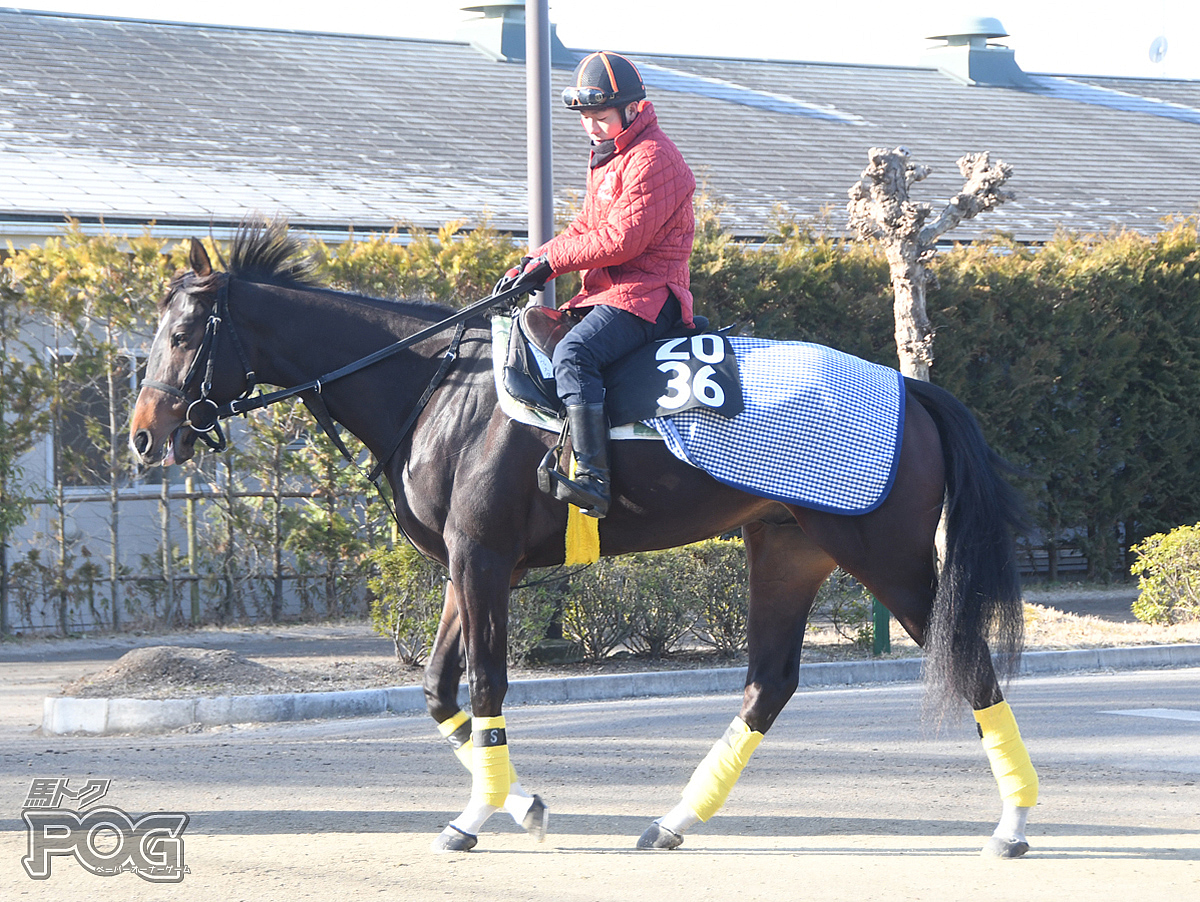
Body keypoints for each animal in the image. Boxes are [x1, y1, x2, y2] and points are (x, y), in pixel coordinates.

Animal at [126, 221, 1036, 854]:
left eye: (183, 335)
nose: (142, 435)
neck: (441, 383)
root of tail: (910, 390)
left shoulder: (481, 562)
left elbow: (486, 687)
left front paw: (481, 814)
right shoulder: (467, 569)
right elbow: (440, 692)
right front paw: (518, 801)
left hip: (887, 556)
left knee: (970, 664)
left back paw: (1014, 822)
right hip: (787, 551)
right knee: (768, 686)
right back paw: (673, 821)